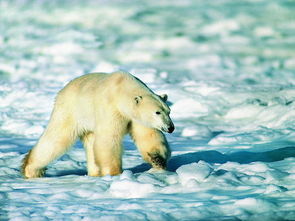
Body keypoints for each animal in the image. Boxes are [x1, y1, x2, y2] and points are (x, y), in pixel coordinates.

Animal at [23, 71, 176, 179]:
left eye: (169, 111)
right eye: (157, 112)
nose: (171, 128)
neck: (121, 89)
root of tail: (62, 91)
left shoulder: (135, 118)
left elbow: (148, 135)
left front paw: (158, 160)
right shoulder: (110, 109)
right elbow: (109, 139)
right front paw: (114, 173)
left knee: (90, 143)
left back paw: (94, 173)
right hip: (71, 112)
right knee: (56, 138)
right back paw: (31, 170)